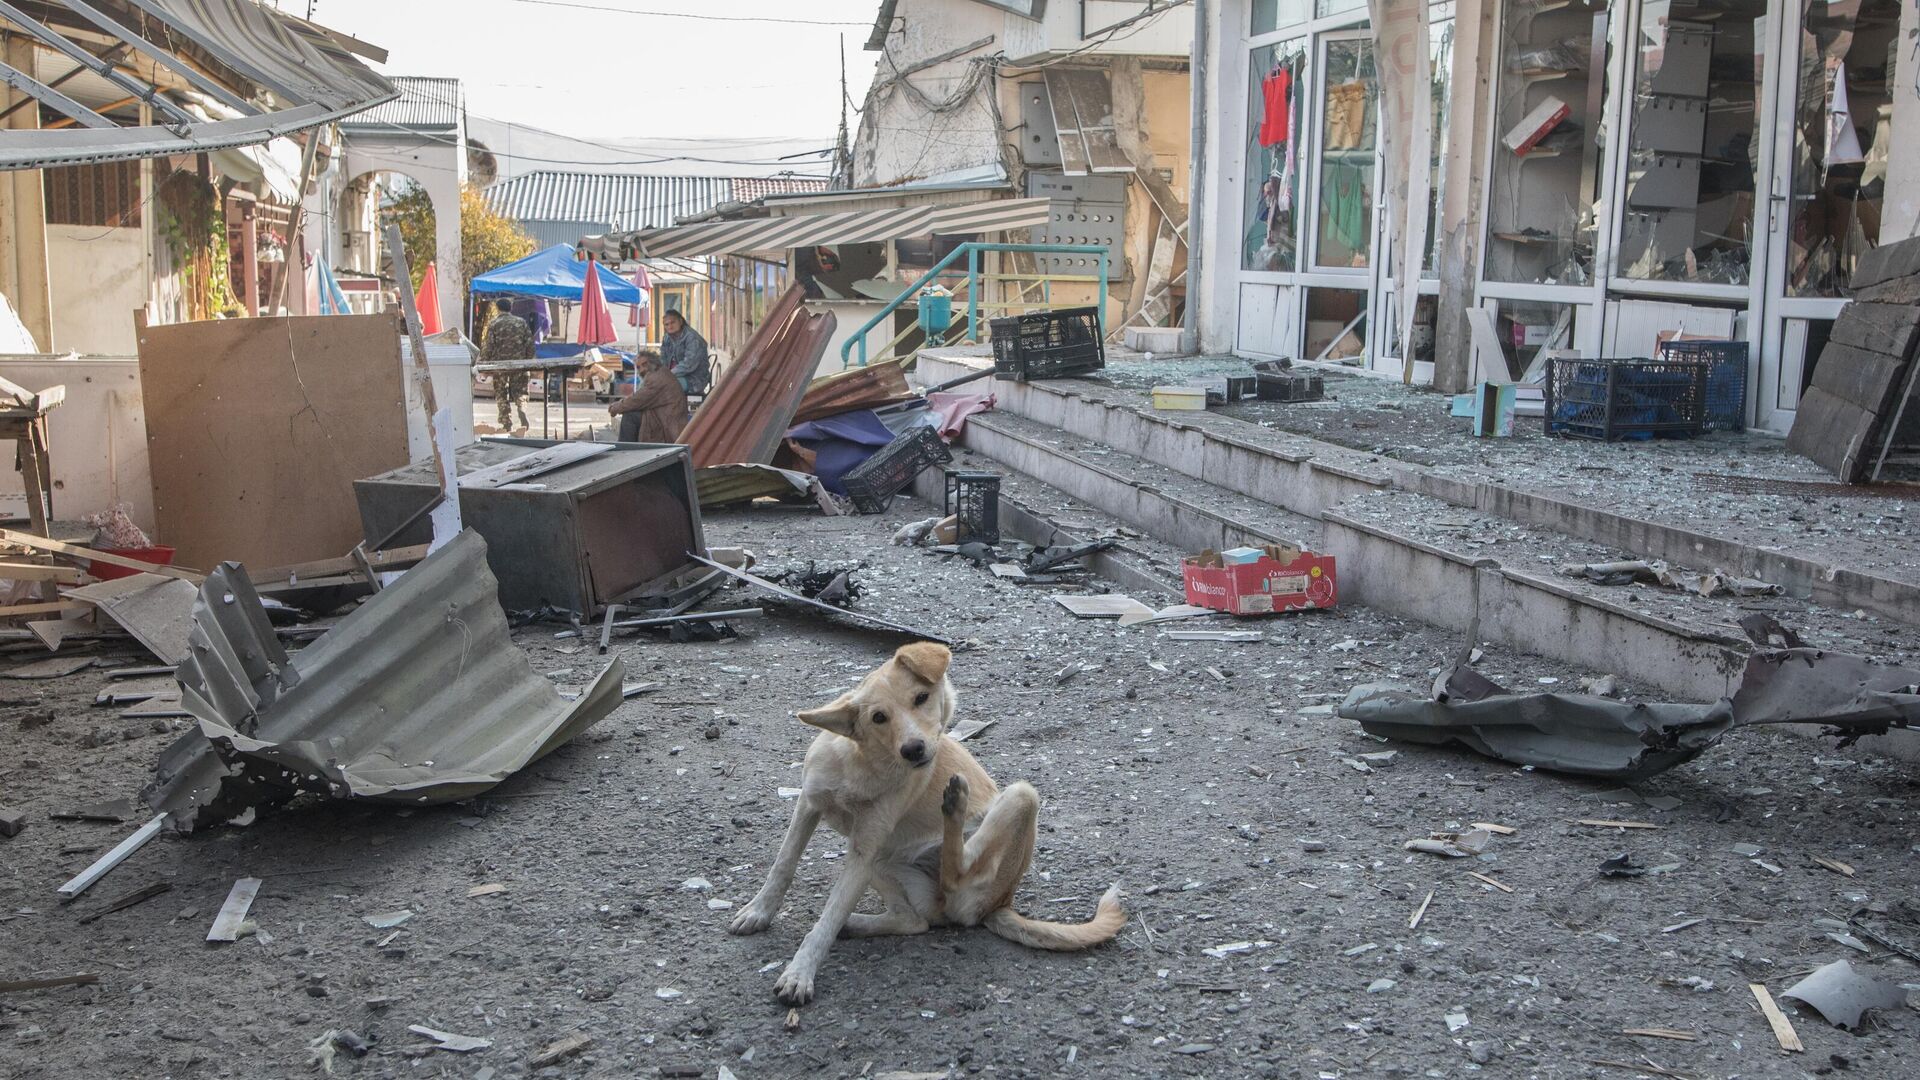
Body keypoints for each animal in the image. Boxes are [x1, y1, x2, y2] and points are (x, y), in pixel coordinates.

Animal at [729, 638, 1121, 999]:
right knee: (914, 920)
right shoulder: (811, 808)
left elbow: (828, 917)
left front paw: (800, 972)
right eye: (878, 717)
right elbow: (783, 865)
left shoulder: (864, 849)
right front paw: (759, 912)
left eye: (921, 698)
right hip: (885, 864)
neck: (865, 764)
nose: (914, 750)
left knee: (956, 876)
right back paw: (857, 923)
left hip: (1021, 797)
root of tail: (1001, 904)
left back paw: (955, 809)